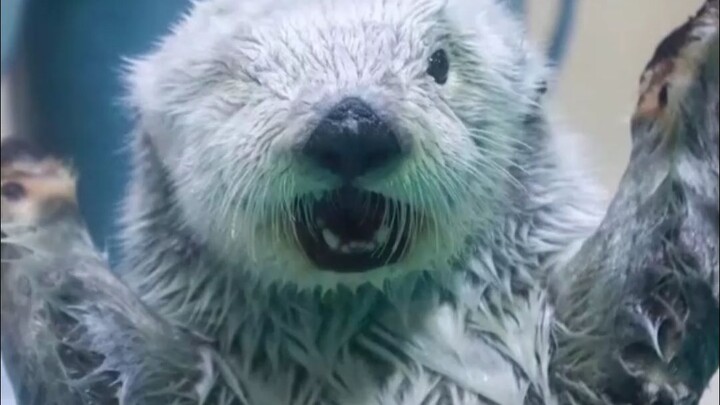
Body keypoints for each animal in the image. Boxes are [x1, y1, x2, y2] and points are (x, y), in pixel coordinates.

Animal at [1, 0, 718, 404]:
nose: (352, 128)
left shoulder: (550, 332)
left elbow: (644, 311)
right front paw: (25, 185)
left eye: (438, 64)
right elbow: (92, 360)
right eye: (250, 76)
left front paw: (692, 58)